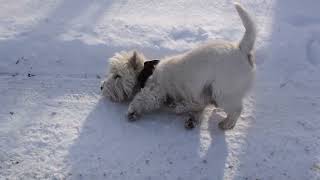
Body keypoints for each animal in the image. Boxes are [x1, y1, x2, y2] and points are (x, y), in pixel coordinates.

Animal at [101, 2, 256, 129]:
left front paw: (132, 110)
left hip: (223, 91)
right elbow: (196, 106)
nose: (101, 87)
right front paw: (188, 115)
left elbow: (142, 98)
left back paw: (226, 124)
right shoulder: (199, 95)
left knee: (236, 109)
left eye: (117, 75)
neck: (145, 72)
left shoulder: (155, 92)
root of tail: (241, 49)